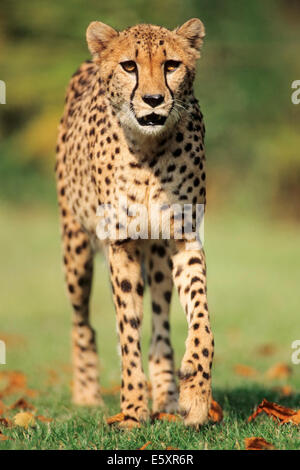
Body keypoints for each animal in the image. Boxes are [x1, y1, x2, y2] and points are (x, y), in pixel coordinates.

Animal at [55, 19, 213, 430]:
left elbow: (201, 319)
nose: (154, 99)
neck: (149, 148)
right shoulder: (121, 243)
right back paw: (87, 394)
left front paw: (195, 396)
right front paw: (131, 411)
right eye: (129, 66)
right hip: (76, 248)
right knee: (82, 323)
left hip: (157, 257)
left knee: (160, 331)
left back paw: (167, 396)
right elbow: (127, 331)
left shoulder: (183, 239)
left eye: (171, 64)